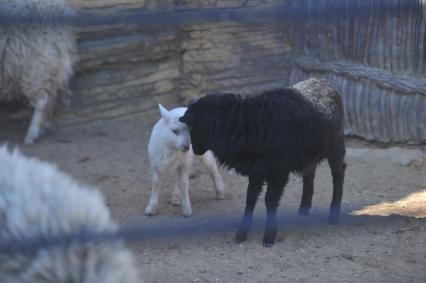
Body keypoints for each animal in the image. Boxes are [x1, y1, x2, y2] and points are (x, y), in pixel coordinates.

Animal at [179, 79, 346, 247]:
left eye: (192, 127)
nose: (195, 150)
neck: (250, 124)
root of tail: (325, 83)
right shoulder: (256, 170)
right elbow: (250, 199)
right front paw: (241, 233)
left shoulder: (278, 171)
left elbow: (270, 200)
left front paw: (269, 237)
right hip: (309, 153)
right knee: (309, 173)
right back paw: (304, 208)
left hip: (335, 145)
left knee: (339, 172)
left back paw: (334, 215)